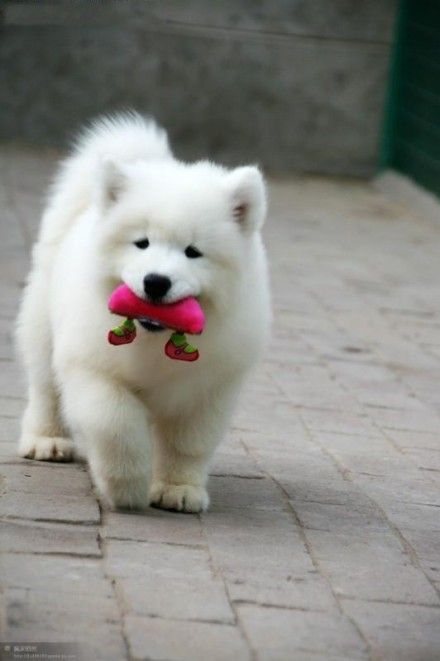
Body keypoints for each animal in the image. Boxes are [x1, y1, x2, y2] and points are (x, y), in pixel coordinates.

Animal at [15, 113, 270, 510]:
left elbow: (188, 443)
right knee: (45, 387)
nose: (156, 281)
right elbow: (114, 421)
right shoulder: (93, 367)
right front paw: (126, 485)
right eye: (142, 243)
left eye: (192, 252)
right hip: (43, 328)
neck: (156, 339)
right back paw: (46, 441)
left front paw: (179, 489)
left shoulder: (210, 386)